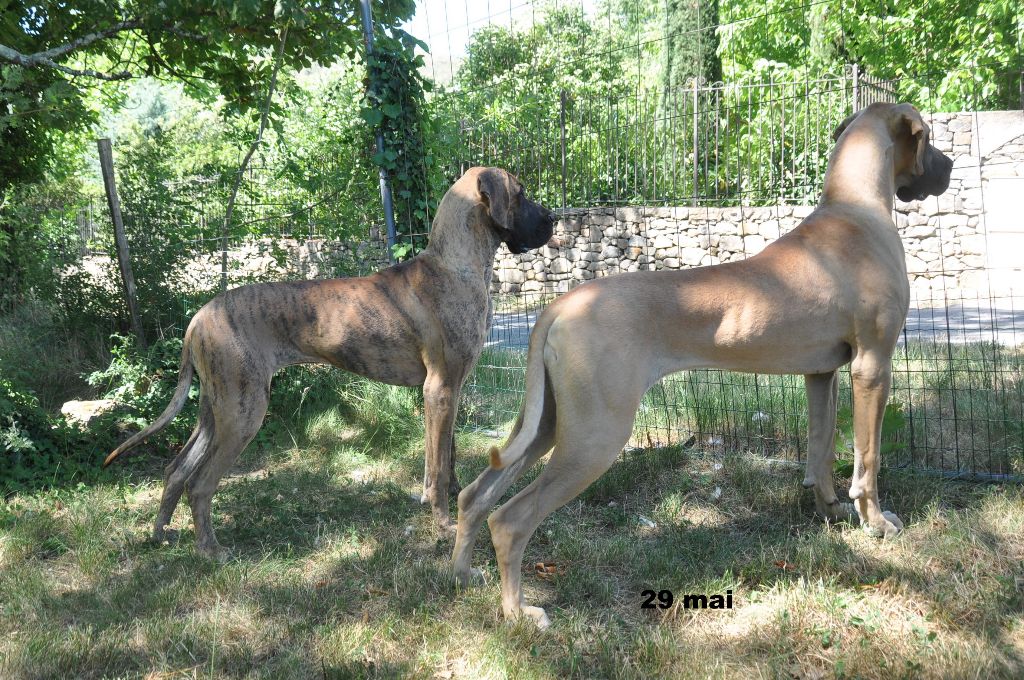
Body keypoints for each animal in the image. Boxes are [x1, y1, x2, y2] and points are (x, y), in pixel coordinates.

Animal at [105, 165, 552, 557]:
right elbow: (437, 468)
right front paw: (443, 524)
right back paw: (210, 550)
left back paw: (161, 534)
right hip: (243, 411)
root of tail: (197, 318)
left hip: (215, 410)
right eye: (521, 192)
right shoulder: (439, 390)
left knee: (176, 469)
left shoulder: (450, 392)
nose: (551, 220)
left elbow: (448, 457)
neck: (455, 264)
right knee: (199, 483)